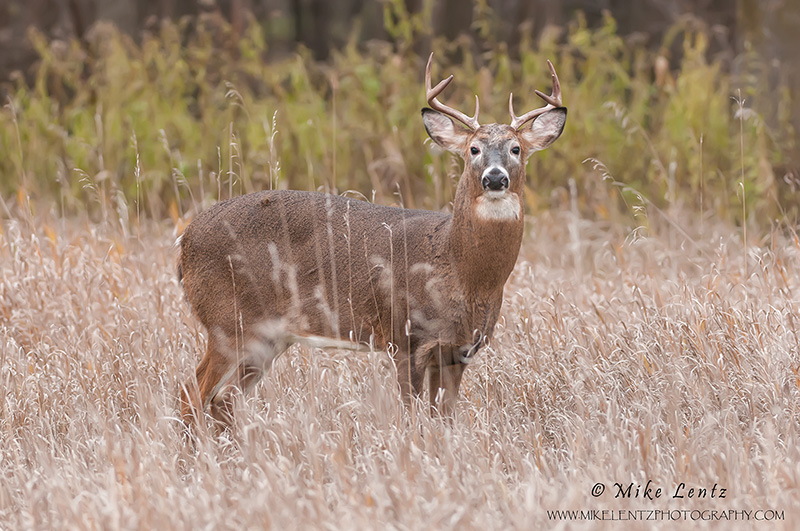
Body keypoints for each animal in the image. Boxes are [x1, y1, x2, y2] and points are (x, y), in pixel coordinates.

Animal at [178, 53, 564, 428]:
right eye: (473, 149)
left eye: (516, 148)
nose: (494, 178)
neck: (460, 270)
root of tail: (184, 241)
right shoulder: (405, 339)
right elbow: (411, 417)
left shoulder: (459, 350)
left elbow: (444, 419)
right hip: (226, 320)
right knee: (191, 393)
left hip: (268, 337)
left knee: (223, 400)